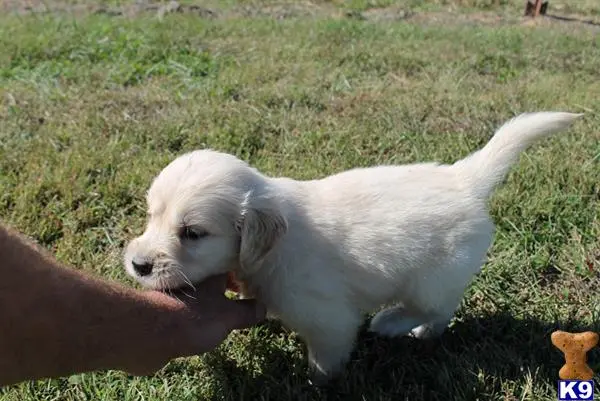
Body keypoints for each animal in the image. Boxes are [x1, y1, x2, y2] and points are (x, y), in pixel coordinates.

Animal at [123, 111, 580, 382]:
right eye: (151, 215)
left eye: (193, 233)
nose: (138, 265)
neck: (274, 246)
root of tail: (463, 179)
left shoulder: (328, 319)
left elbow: (326, 357)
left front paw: (315, 383)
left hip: (433, 278)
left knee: (435, 310)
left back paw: (394, 323)